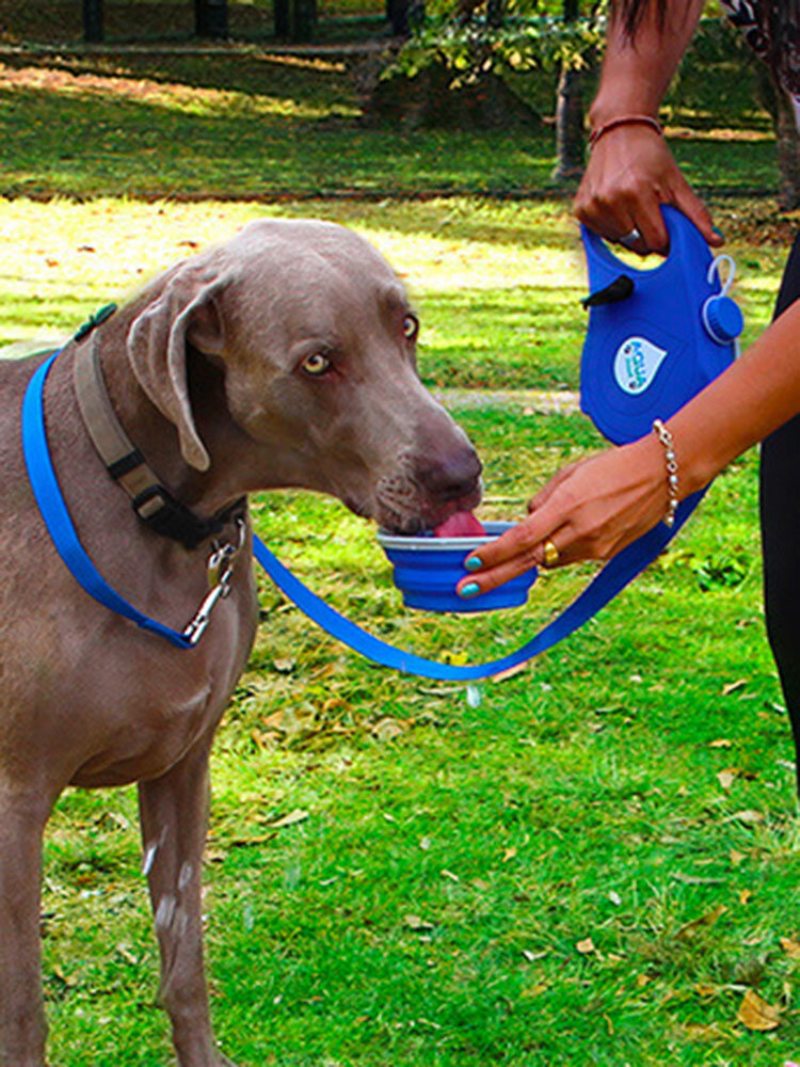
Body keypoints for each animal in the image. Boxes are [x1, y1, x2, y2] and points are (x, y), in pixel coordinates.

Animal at [0, 218, 482, 1067]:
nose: (462, 473)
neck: (157, 506)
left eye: (408, 326)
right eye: (317, 361)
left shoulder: (184, 763)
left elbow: (184, 957)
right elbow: (24, 1010)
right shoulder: (13, 799)